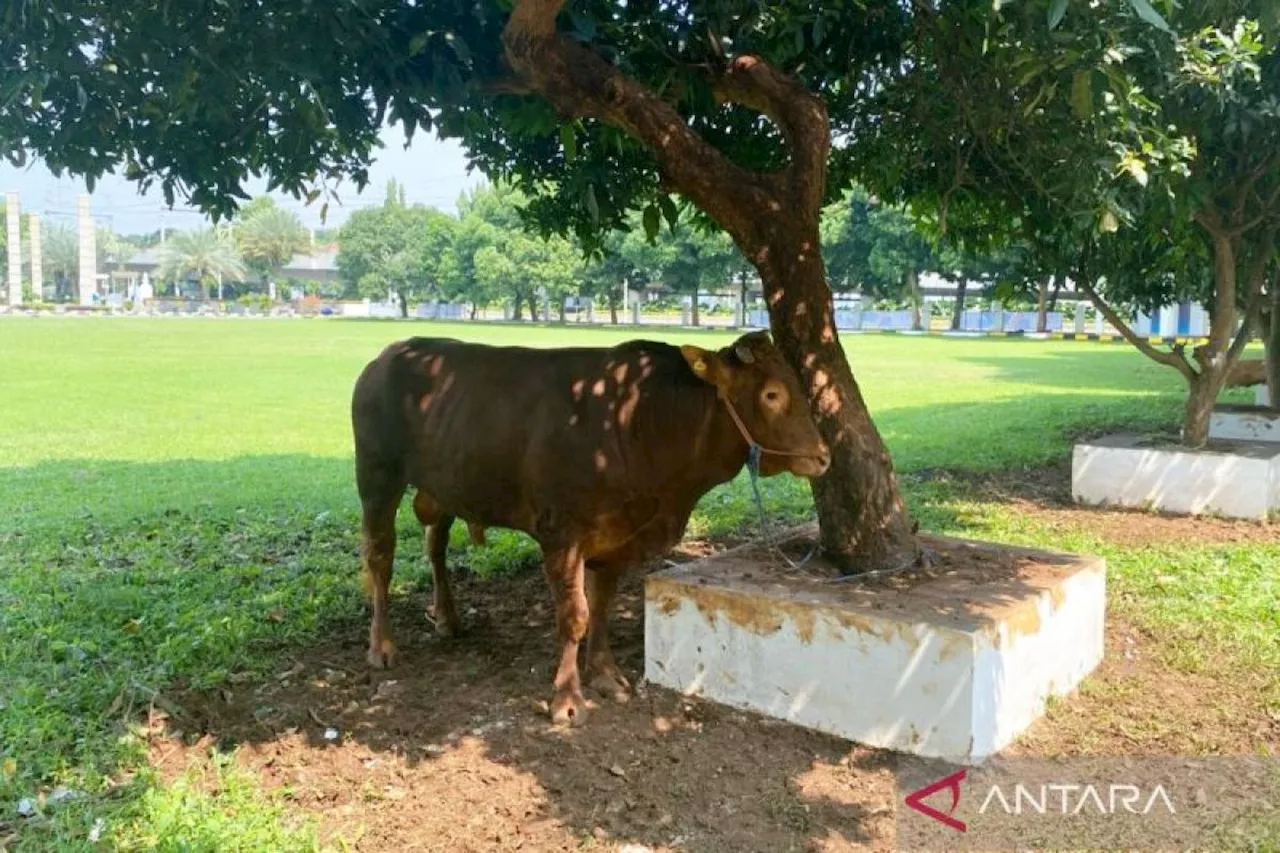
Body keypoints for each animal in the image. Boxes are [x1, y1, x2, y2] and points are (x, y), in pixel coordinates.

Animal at [350, 327, 829, 722]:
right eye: (772, 394)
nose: (823, 456)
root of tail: (390, 353)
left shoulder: (616, 536)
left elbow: (600, 606)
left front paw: (605, 675)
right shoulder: (561, 533)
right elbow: (574, 614)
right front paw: (567, 699)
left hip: (446, 481)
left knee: (435, 544)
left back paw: (447, 618)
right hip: (377, 474)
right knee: (381, 556)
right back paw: (381, 646)